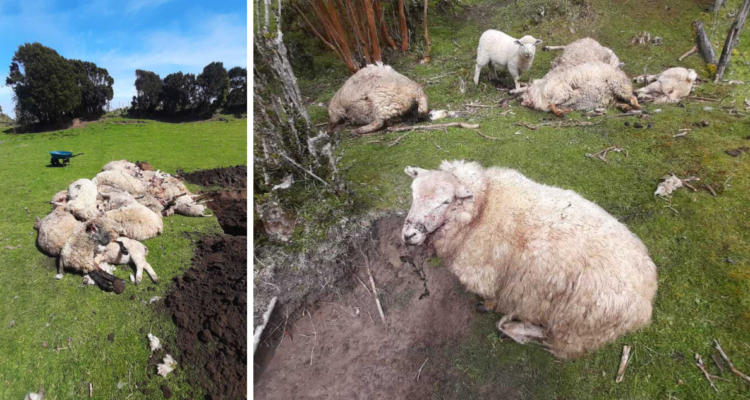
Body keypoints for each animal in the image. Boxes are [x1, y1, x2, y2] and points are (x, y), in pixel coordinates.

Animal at [401, 160, 658, 359]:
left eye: (445, 202)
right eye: (413, 194)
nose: (408, 235)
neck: (482, 208)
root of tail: (646, 297)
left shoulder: (484, 274)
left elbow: (490, 295)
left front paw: (489, 306)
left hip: (576, 327)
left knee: (553, 340)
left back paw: (515, 327)